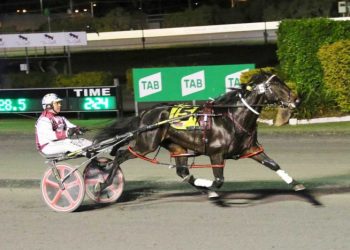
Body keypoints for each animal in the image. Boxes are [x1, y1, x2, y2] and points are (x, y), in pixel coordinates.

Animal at [94, 71, 304, 198]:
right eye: (275, 84)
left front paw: (296, 184)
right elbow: (219, 180)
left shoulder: (251, 149)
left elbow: (273, 164)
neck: (232, 118)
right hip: (146, 144)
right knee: (120, 155)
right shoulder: (216, 153)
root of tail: (146, 113)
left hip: (178, 147)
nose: (297, 99)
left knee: (183, 172)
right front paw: (210, 187)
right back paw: (102, 185)